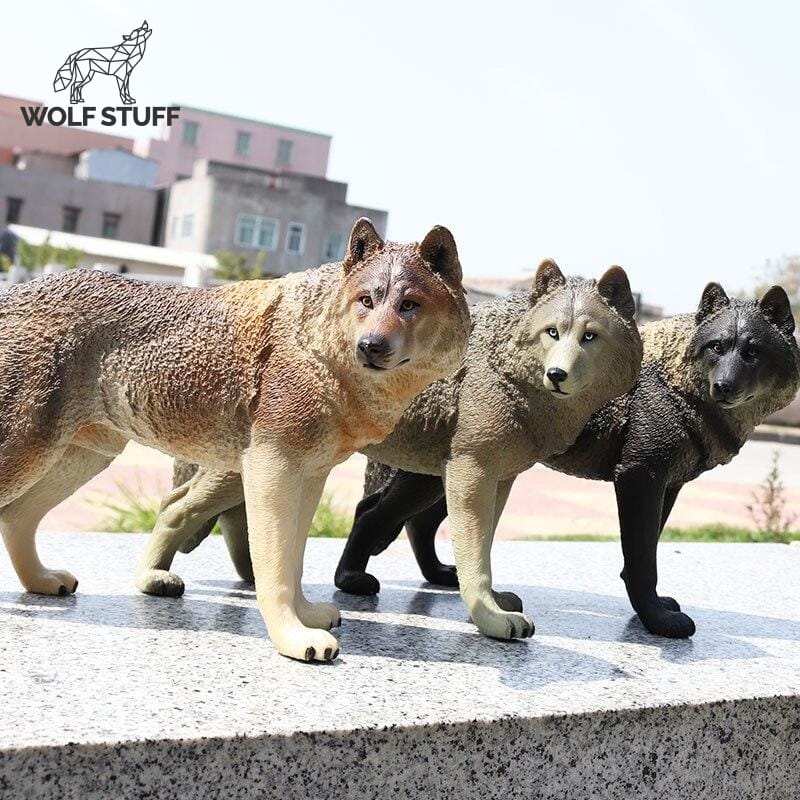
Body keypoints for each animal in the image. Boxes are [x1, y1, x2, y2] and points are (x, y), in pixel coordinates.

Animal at [0, 219, 470, 662]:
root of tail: (15, 291)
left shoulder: (309, 477)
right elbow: (275, 568)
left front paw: (306, 616)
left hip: (83, 458)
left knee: (17, 517)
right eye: (367, 301)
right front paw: (293, 638)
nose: (370, 346)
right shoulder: (271, 469)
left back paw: (41, 581)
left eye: (409, 305)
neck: (318, 345)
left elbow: (295, 562)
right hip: (33, 453)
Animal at [157, 261, 643, 642]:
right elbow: (476, 557)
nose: (557, 374)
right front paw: (489, 617)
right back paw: (159, 578)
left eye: (590, 336)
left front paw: (493, 601)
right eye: (553, 332)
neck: (510, 368)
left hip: (414, 478)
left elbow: (483, 546)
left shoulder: (499, 479)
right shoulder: (473, 472)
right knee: (179, 507)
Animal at [337, 282, 800, 639]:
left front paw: (652, 609)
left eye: (753, 353)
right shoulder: (639, 478)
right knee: (373, 514)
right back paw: (350, 580)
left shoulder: (667, 486)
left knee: (410, 521)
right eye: (716, 347)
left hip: (446, 475)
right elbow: (641, 561)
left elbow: (647, 549)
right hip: (440, 476)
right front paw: (657, 620)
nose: (724, 387)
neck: (677, 382)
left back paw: (437, 576)